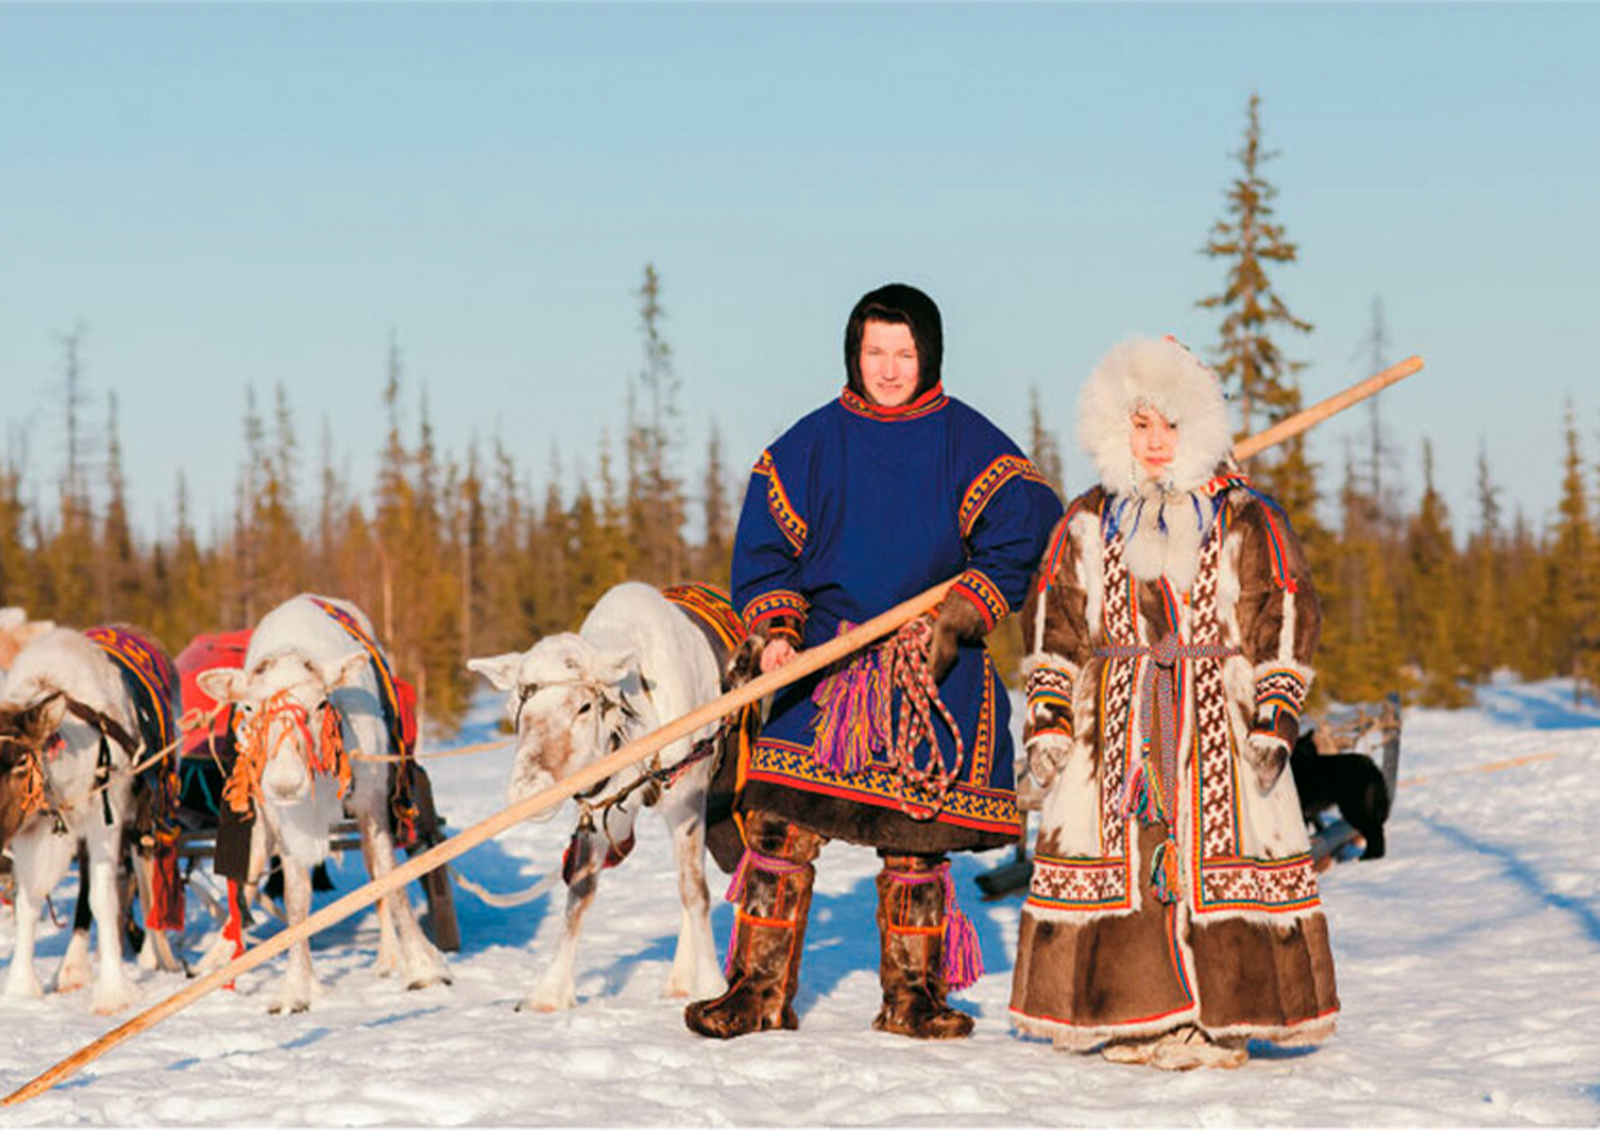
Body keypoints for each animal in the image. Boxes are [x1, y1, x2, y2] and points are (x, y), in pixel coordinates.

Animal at [1286, 726, 1388, 857]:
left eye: (1312, 752)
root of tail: (1372, 765)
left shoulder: (1303, 811)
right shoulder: (1308, 813)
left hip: (1355, 810)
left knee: (1375, 831)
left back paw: (1369, 858)